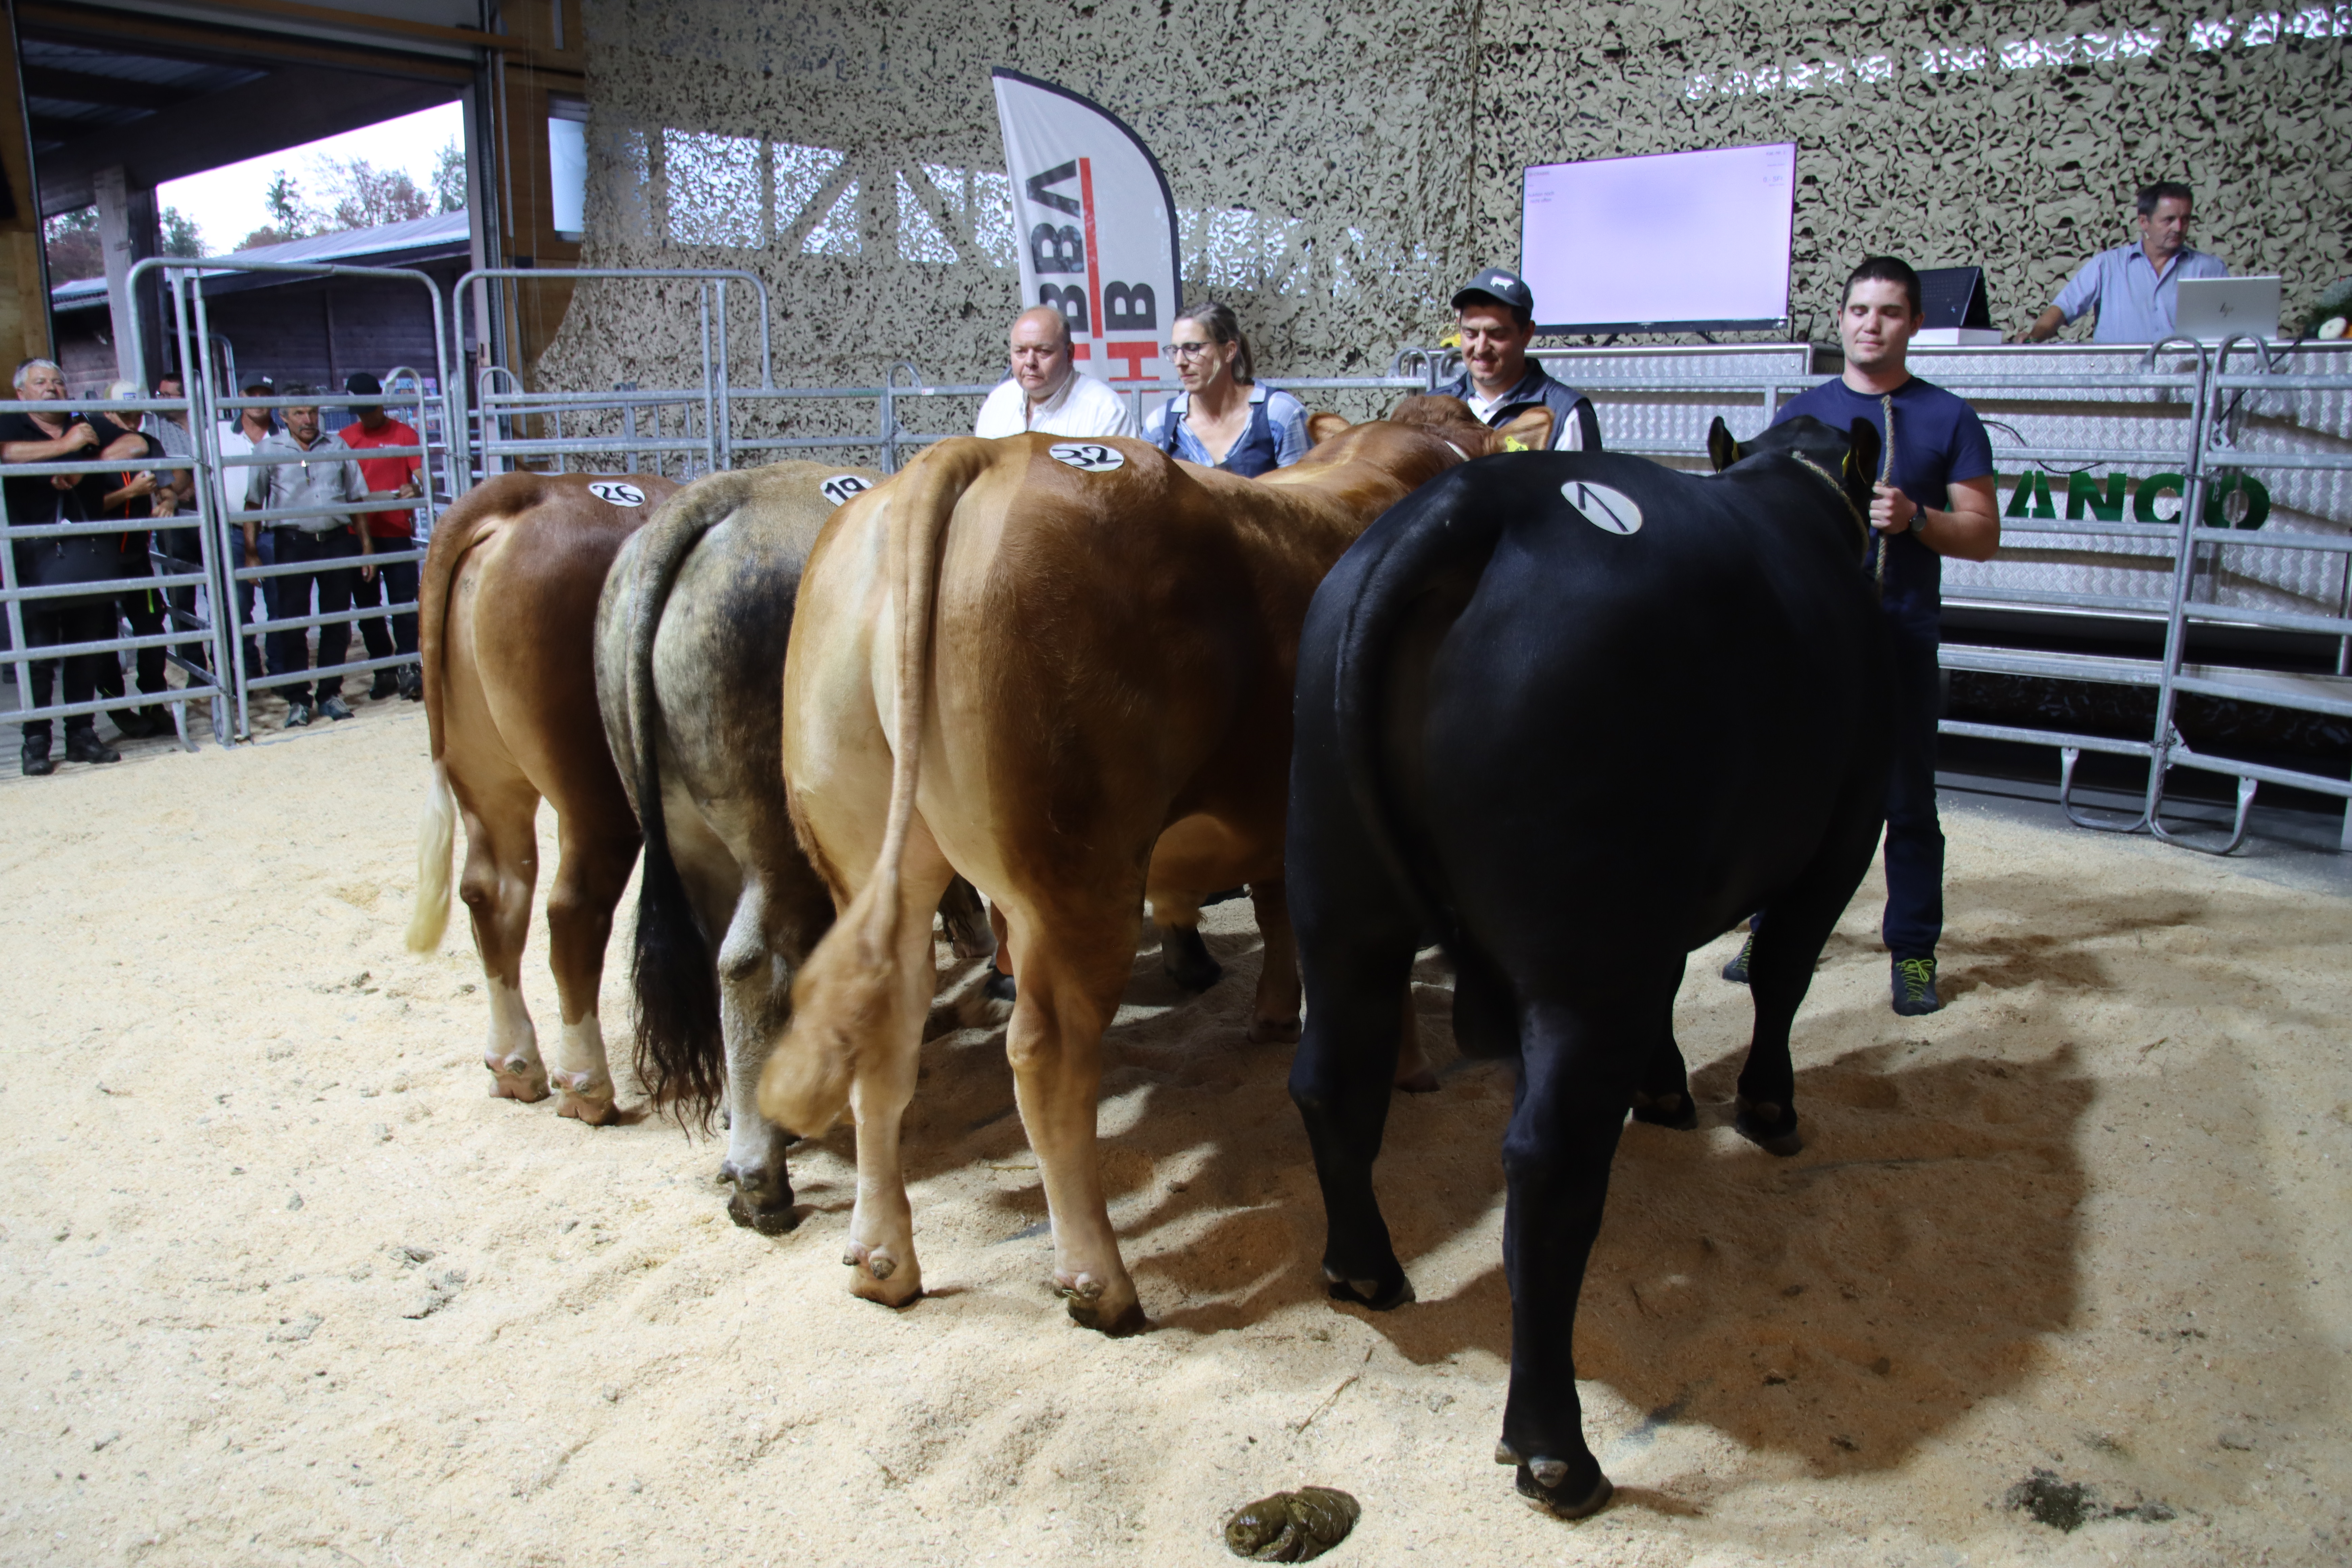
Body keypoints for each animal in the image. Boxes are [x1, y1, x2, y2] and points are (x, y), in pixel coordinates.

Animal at [405, 472, 677, 1124]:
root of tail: (530, 490)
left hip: (485, 778)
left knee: (494, 893)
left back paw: (515, 1066)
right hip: (596, 793)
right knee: (573, 910)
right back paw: (587, 1083)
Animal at [1289, 416, 1891, 1523]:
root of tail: (1472, 505)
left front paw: (1666, 1090)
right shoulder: (1845, 827)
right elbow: (1782, 972)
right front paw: (1767, 1108)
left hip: (1339, 899)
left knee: (1329, 1081)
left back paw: (1366, 1271)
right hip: (1585, 951)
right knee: (1549, 1164)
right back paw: (1556, 1448)